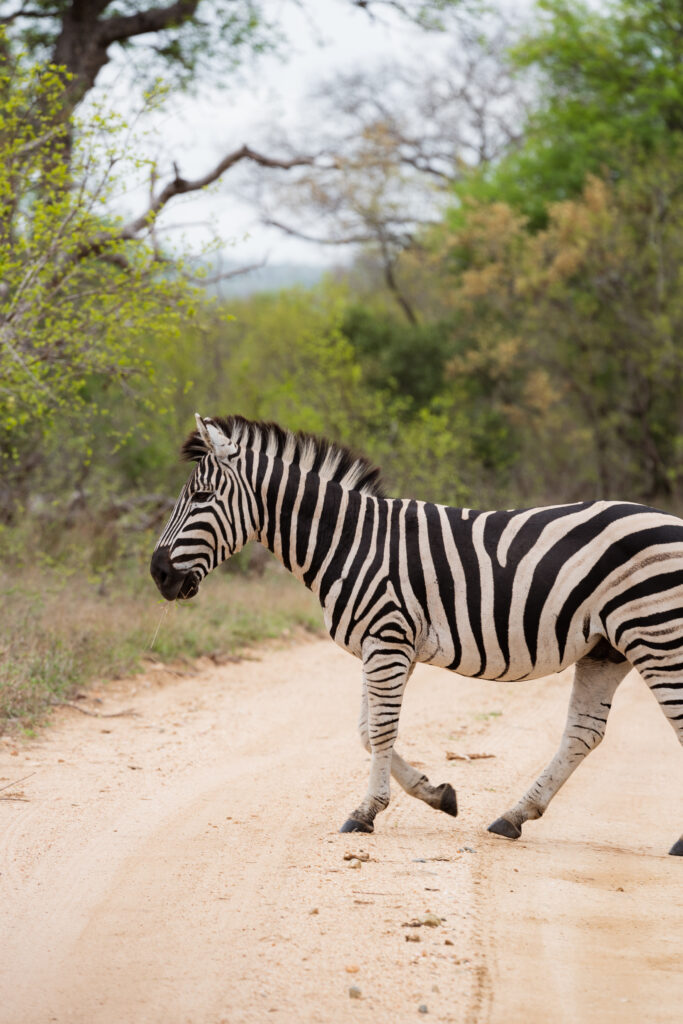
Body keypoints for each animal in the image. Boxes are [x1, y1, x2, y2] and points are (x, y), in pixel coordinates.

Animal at [152, 415, 683, 856]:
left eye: (201, 499)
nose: (157, 574)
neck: (349, 543)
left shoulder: (387, 639)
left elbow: (381, 730)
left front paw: (365, 812)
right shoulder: (388, 645)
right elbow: (367, 730)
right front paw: (437, 794)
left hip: (657, 635)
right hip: (607, 648)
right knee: (583, 732)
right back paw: (513, 817)